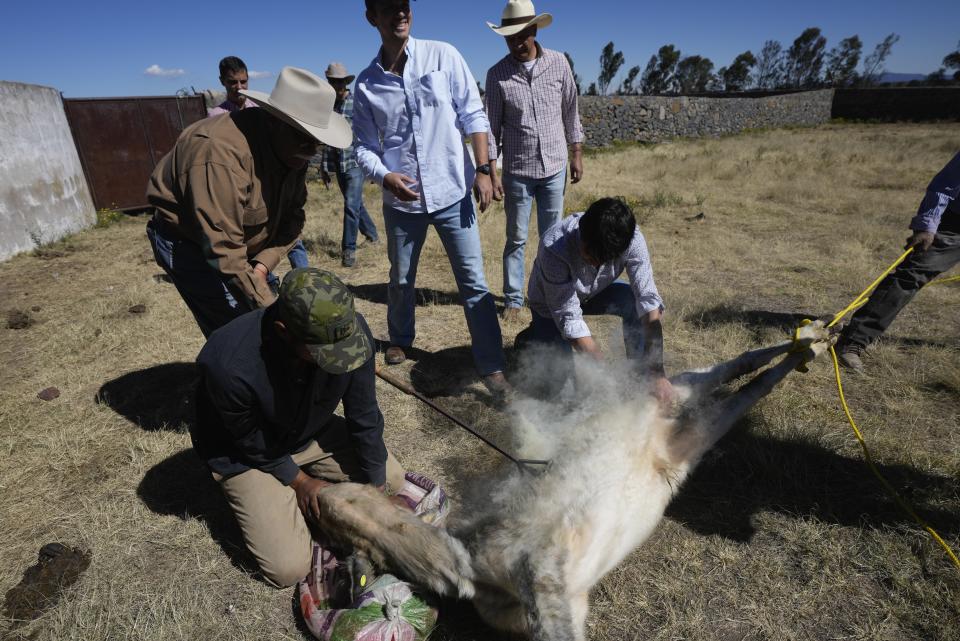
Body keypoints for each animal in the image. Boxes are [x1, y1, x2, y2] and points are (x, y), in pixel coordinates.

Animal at [314, 324, 832, 640]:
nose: (325, 493)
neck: (475, 571)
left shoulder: (546, 572)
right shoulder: (557, 586)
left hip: (682, 440)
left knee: (738, 383)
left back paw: (812, 341)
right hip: (679, 432)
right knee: (724, 375)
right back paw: (813, 339)